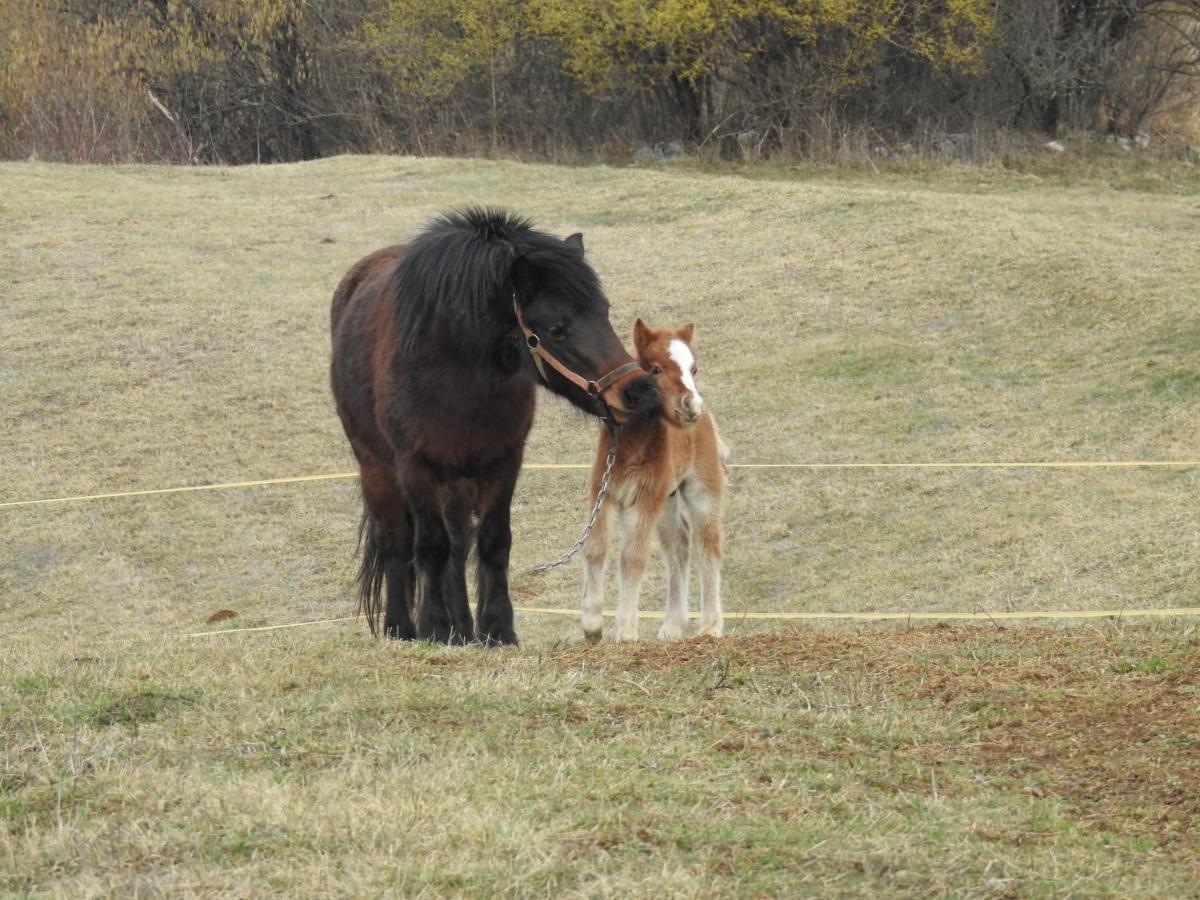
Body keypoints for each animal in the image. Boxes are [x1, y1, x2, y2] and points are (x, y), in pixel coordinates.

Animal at [328, 210, 657, 648]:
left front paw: (497, 630)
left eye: (603, 311)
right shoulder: (416, 466)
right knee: (395, 541)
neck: (454, 371)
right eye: (556, 328)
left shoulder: (503, 461)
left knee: (458, 544)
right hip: (377, 468)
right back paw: (401, 628)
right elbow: (429, 546)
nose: (638, 390)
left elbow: (492, 542)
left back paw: (463, 630)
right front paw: (434, 627)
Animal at [578, 321, 724, 643]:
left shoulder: (644, 499)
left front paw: (625, 631)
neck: (629, 447)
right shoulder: (604, 494)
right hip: (667, 499)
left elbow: (632, 558)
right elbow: (595, 547)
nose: (691, 405)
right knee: (678, 544)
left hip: (701, 489)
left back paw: (710, 626)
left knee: (707, 544)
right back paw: (672, 625)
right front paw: (592, 625)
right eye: (655, 369)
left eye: (694, 369)